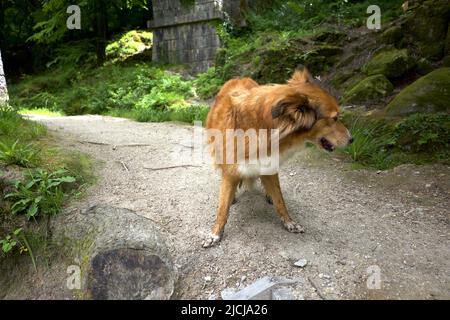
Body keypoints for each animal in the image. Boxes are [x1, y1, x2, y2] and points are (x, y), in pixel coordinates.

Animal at [202, 65, 354, 248]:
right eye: (334, 118)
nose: (352, 139)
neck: (261, 127)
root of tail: (239, 77)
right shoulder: (231, 169)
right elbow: (222, 208)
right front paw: (215, 233)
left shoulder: (269, 165)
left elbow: (280, 200)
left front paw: (289, 222)